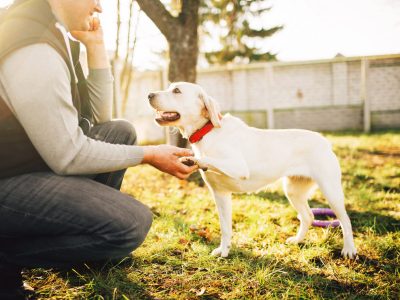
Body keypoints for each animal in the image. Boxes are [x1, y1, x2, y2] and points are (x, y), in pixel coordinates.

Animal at [147, 81, 356, 258]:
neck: (208, 132)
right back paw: (297, 240)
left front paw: (194, 160)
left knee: (345, 221)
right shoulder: (220, 194)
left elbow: (206, 158)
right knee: (308, 216)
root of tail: (324, 140)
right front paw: (224, 251)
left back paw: (349, 250)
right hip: (293, 191)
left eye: (177, 91)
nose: (149, 94)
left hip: (331, 191)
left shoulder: (238, 167)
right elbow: (225, 228)